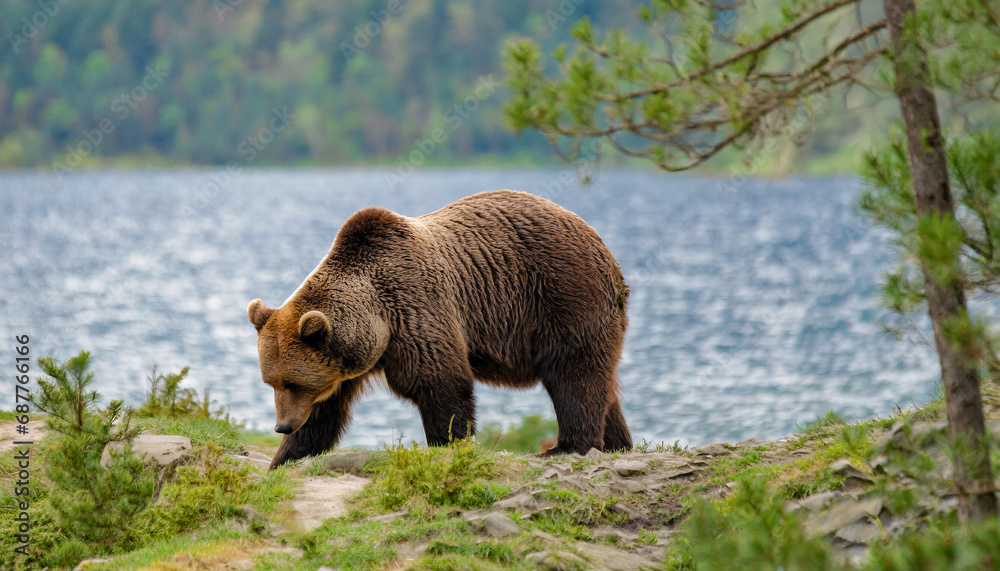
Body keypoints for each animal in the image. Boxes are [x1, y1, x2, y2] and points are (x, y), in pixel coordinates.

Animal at [246, 190, 628, 466]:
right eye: (271, 382)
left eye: (293, 382)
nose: (281, 425)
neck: (378, 319)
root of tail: (603, 245)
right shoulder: (346, 363)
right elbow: (324, 413)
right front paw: (286, 457)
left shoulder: (416, 309)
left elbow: (441, 384)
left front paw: (449, 443)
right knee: (603, 385)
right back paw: (618, 444)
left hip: (564, 296)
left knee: (574, 374)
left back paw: (569, 446)